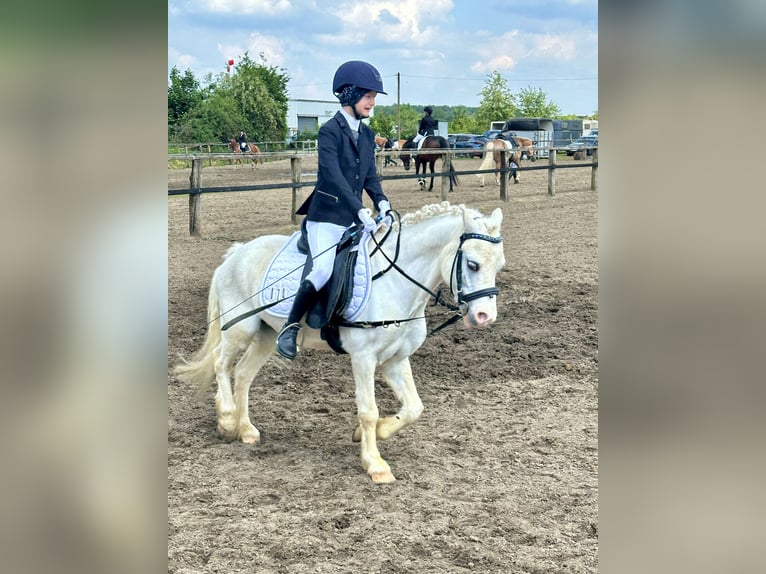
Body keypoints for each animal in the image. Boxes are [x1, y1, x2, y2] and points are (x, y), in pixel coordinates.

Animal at [176, 202, 508, 486]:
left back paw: (246, 430)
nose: (485, 316)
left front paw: (369, 434)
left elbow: (414, 407)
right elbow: (368, 409)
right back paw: (227, 419)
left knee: (243, 374)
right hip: (240, 329)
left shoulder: (395, 360)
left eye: (500, 266)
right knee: (221, 364)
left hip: (267, 335)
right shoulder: (363, 358)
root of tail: (236, 253)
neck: (396, 284)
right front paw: (375, 464)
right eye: (473, 264)